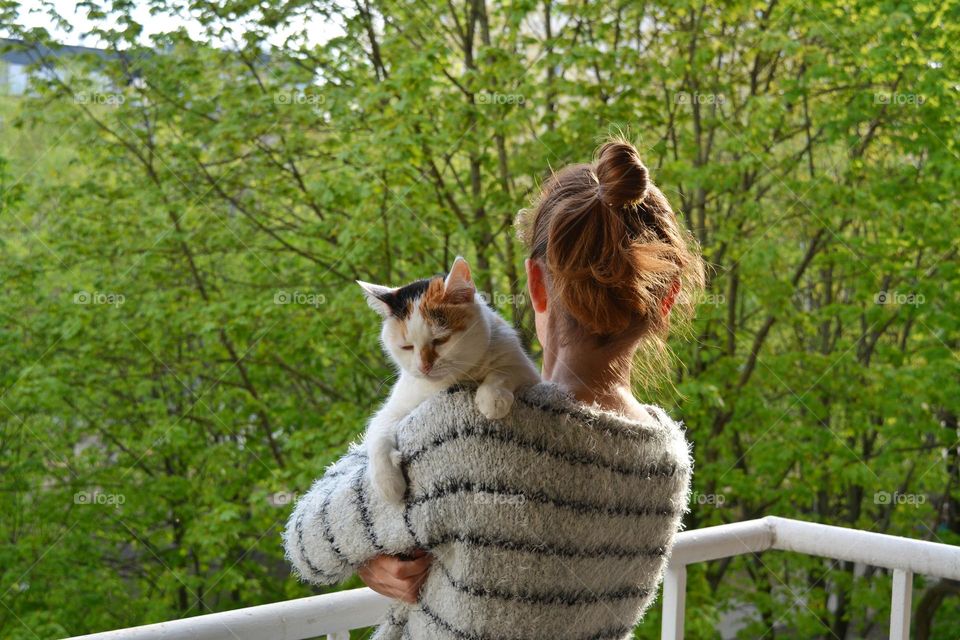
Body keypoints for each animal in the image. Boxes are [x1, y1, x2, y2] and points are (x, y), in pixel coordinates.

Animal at [358, 258, 540, 502]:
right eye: (406, 347)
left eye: (440, 340)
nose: (424, 367)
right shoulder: (397, 407)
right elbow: (377, 430)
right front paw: (388, 485)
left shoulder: (526, 370)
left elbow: (503, 372)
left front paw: (492, 398)